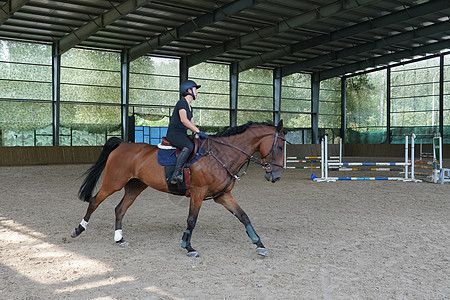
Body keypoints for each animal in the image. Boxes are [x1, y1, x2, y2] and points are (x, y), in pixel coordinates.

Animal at [72, 120, 286, 256]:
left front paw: (259, 244)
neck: (221, 154)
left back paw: (119, 238)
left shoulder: (223, 195)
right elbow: (192, 219)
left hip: (135, 186)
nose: (276, 176)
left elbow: (243, 217)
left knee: (120, 209)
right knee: (94, 201)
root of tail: (123, 144)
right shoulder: (198, 192)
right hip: (113, 183)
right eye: (280, 147)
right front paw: (188, 246)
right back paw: (78, 230)